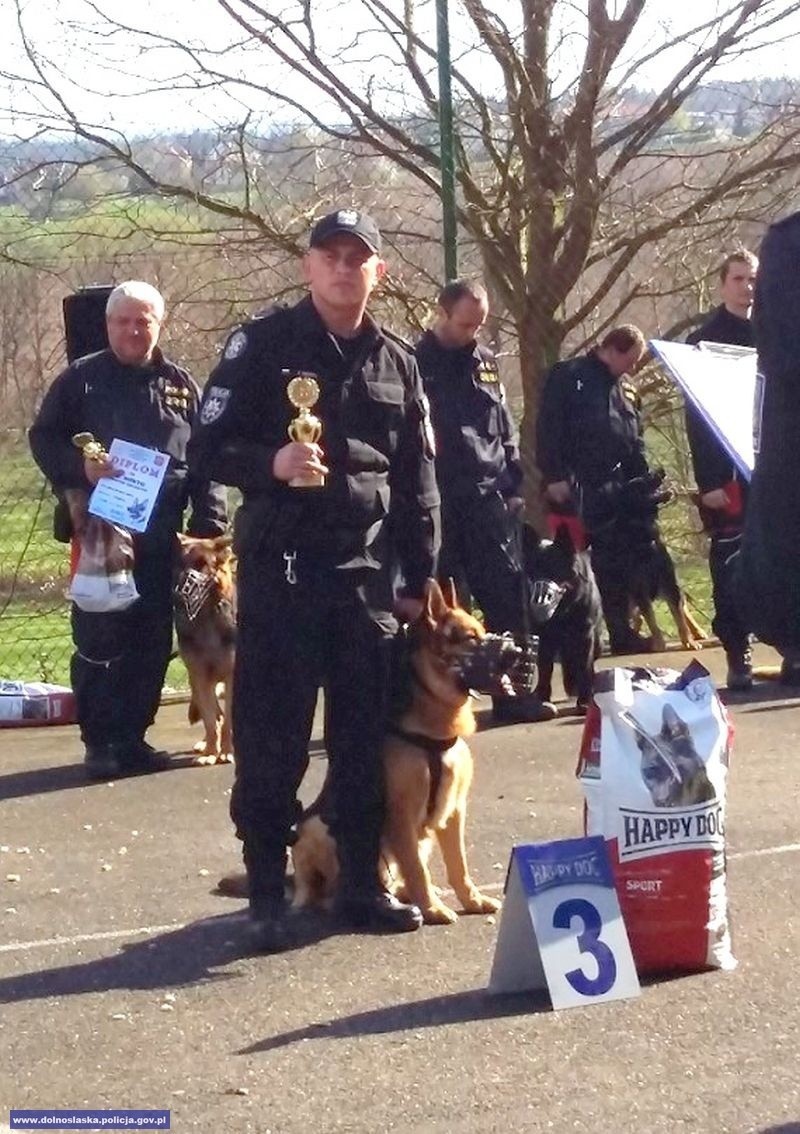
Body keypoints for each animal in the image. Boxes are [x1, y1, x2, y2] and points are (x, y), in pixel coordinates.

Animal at [173, 532, 236, 766]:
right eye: (180, 563)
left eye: (202, 564)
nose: (177, 595)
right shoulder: (200, 676)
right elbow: (210, 720)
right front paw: (210, 751)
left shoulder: (232, 676)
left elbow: (228, 721)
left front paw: (227, 751)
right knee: (215, 714)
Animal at [292, 580, 512, 925]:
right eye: (471, 638)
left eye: (483, 631)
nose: (515, 653)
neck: (433, 733)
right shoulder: (402, 815)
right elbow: (417, 870)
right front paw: (433, 909)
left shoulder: (454, 812)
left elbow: (458, 866)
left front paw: (472, 900)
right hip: (316, 829)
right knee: (327, 888)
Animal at [521, 523, 603, 716]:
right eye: (532, 571)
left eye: (554, 569)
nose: (539, 601)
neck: (562, 612)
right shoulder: (543, 638)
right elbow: (545, 669)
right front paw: (543, 698)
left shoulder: (584, 636)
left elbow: (584, 667)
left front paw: (584, 701)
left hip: (596, 643)